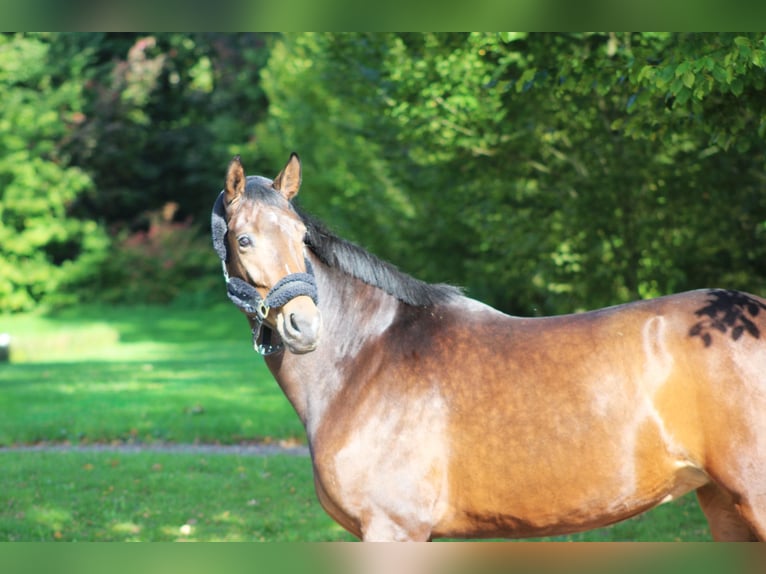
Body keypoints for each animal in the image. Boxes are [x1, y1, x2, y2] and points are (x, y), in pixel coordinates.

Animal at [213, 152, 766, 540]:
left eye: (300, 233)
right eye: (243, 240)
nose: (303, 324)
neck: (365, 357)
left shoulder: (394, 528)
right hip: (725, 508)